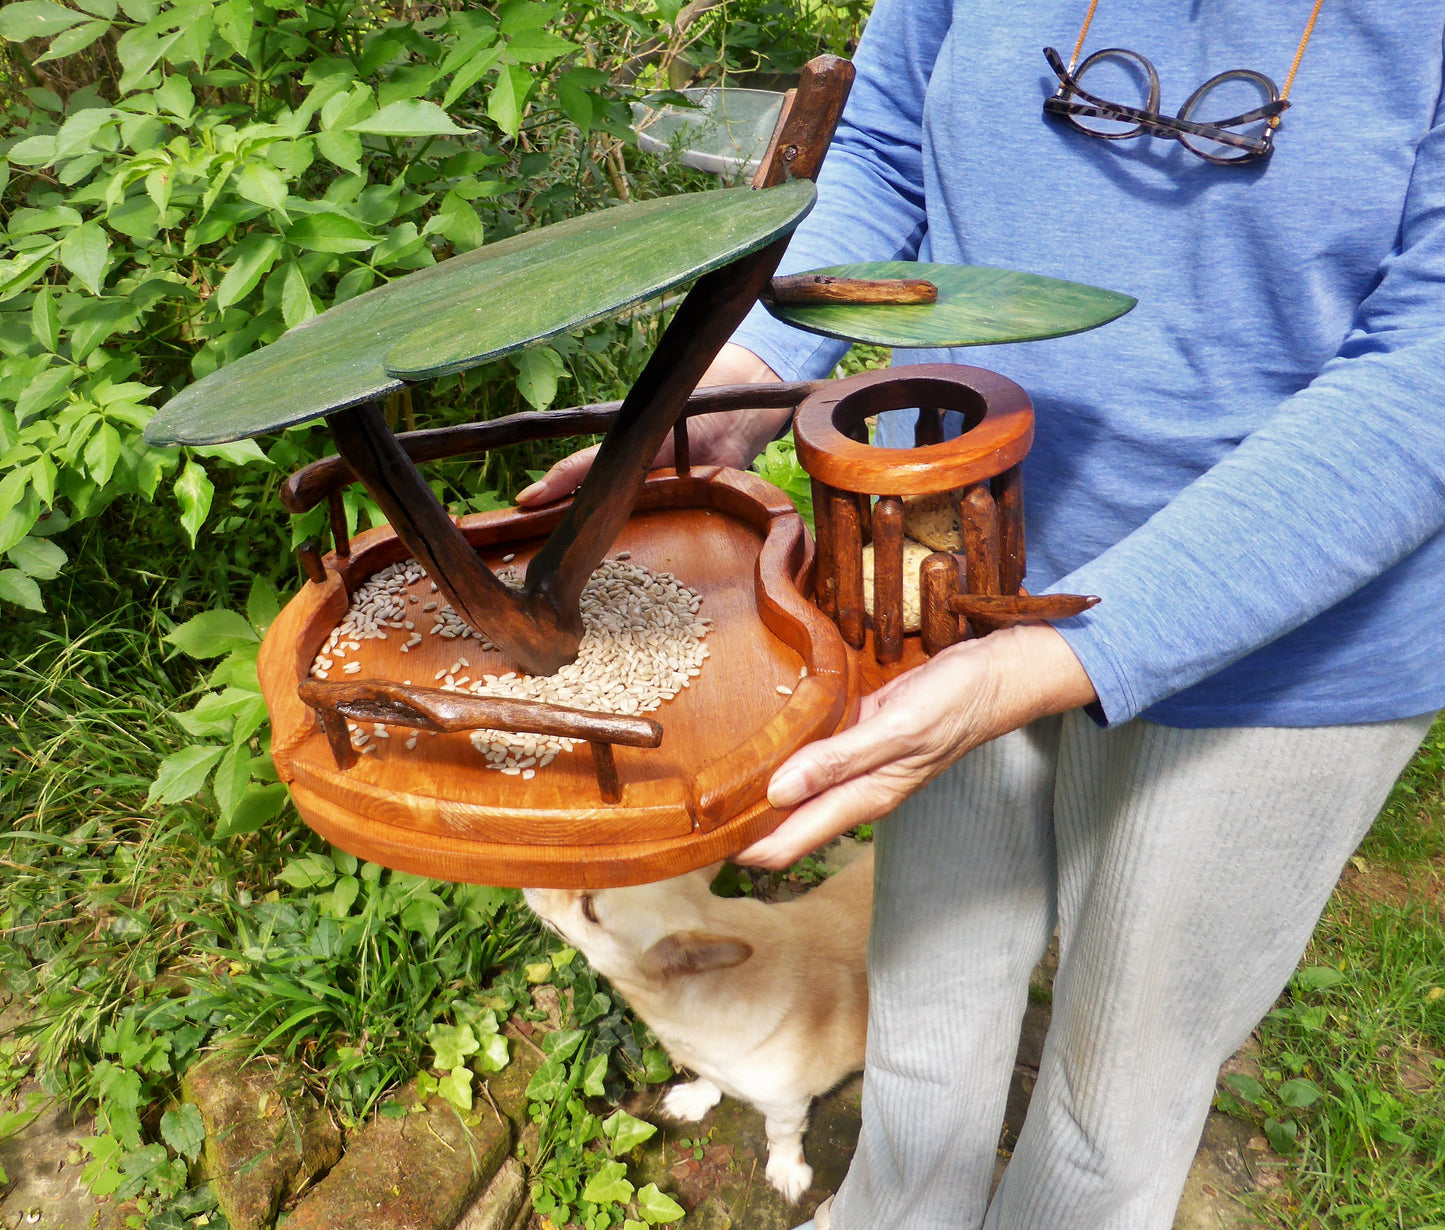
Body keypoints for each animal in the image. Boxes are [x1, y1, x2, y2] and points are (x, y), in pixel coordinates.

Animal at [525, 849, 872, 1196]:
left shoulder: (788, 1106)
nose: (526, 878)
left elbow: (780, 1135)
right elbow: (710, 1078)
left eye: (588, 909)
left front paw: (786, 1168)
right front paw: (697, 1097)